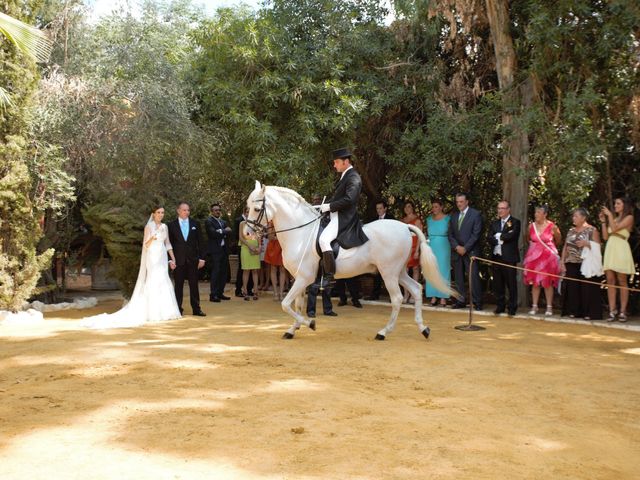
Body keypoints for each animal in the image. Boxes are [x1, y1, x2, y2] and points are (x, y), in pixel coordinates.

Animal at [245, 181, 456, 342]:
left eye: (257, 209)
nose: (247, 233)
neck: (301, 232)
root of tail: (404, 227)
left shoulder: (304, 278)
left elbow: (286, 304)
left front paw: (310, 323)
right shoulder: (299, 278)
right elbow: (295, 305)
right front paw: (292, 330)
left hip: (388, 273)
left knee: (397, 299)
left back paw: (383, 332)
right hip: (399, 272)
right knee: (416, 289)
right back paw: (423, 328)